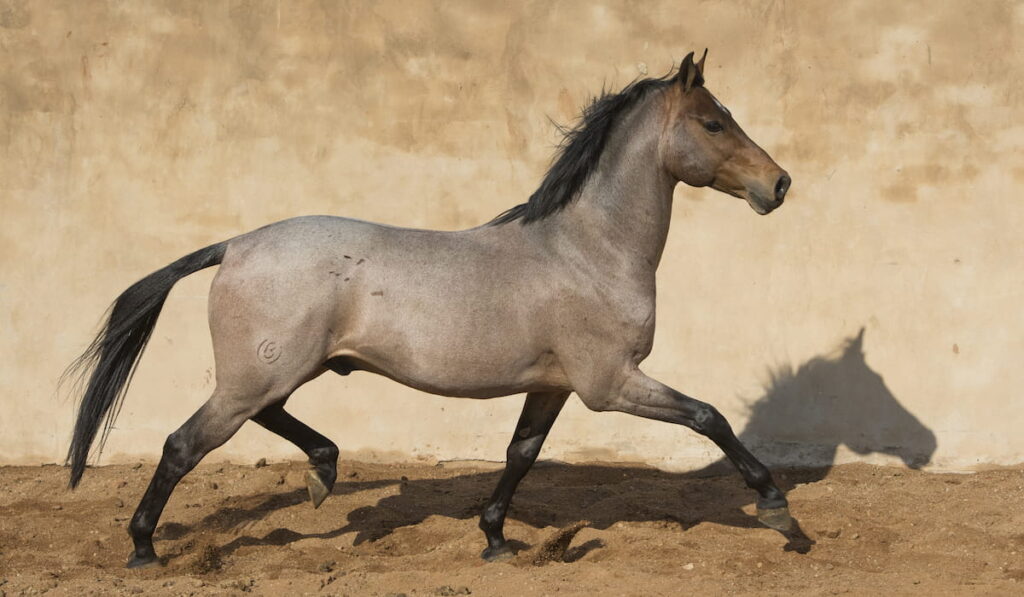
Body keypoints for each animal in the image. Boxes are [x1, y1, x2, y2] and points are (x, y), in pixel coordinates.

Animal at [66, 49, 790, 569]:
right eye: (713, 122)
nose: (778, 184)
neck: (590, 247)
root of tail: (236, 245)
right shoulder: (610, 383)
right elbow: (709, 416)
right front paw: (777, 506)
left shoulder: (554, 385)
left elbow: (520, 454)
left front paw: (495, 538)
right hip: (257, 375)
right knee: (183, 444)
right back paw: (143, 547)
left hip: (277, 371)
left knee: (264, 419)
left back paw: (324, 472)